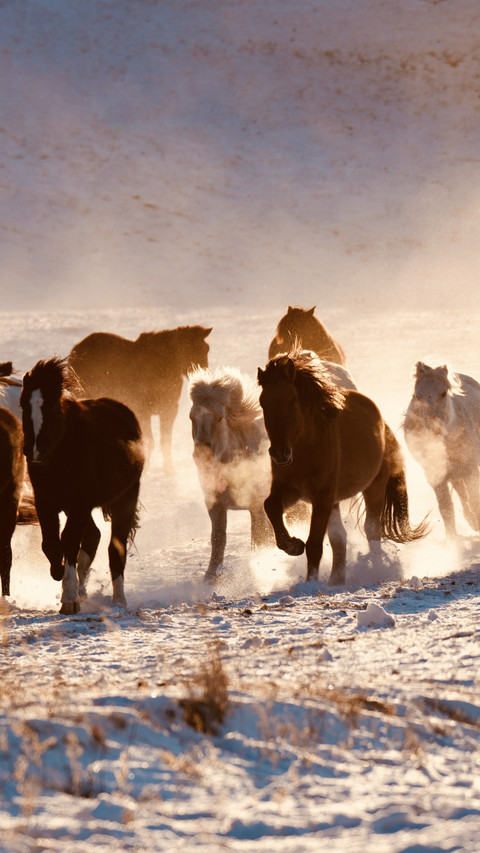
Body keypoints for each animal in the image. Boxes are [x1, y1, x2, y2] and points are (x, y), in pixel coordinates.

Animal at [20, 357, 145, 615]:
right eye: (24, 406)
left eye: (51, 407)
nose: (35, 451)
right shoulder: (46, 502)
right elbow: (50, 543)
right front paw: (59, 573)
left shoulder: (79, 502)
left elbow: (68, 540)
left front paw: (68, 597)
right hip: (77, 507)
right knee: (93, 537)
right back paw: (83, 590)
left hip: (124, 498)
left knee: (115, 548)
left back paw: (118, 600)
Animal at [68, 325, 212, 472]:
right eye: (191, 348)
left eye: (206, 349)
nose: (204, 377)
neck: (160, 369)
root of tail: (76, 349)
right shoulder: (144, 411)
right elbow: (149, 442)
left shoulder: (169, 410)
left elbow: (165, 441)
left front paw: (169, 470)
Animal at [189, 366, 273, 581]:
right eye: (192, 417)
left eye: (219, 417)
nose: (202, 455)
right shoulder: (216, 506)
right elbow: (218, 538)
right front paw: (211, 576)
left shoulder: (256, 504)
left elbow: (260, 536)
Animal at [258, 351, 427, 585]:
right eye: (263, 403)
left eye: (292, 401)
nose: (280, 453)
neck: (305, 449)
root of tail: (382, 424)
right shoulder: (291, 490)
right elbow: (271, 506)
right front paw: (293, 545)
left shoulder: (322, 497)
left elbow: (314, 545)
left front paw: (310, 583)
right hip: (336, 501)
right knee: (340, 540)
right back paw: (336, 580)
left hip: (373, 489)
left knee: (372, 531)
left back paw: (375, 569)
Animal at [403, 361, 480, 537]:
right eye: (417, 396)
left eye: (444, 393)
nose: (433, 428)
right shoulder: (436, 474)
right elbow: (446, 508)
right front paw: (452, 540)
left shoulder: (471, 467)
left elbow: (475, 499)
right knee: (460, 491)